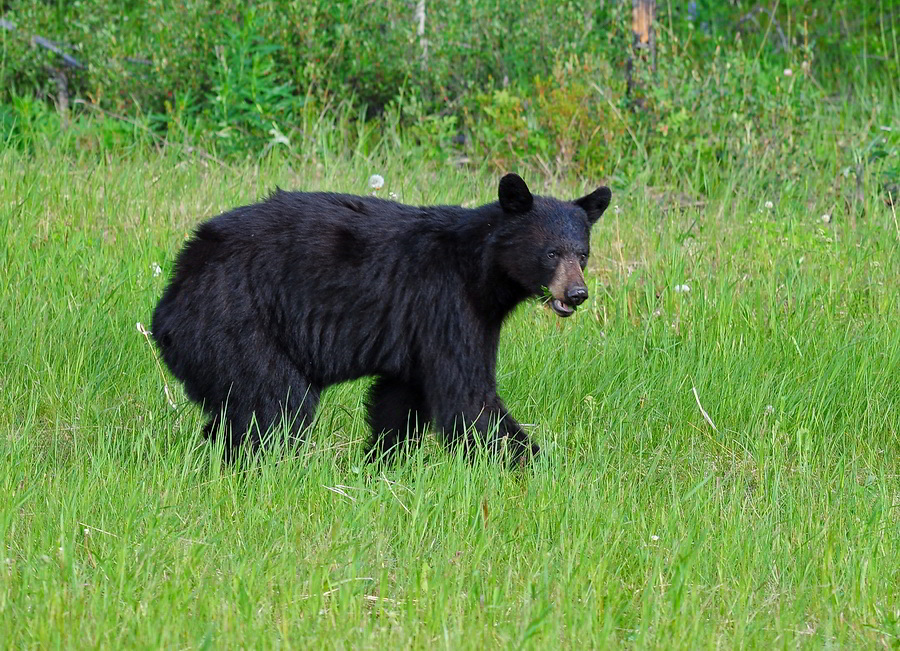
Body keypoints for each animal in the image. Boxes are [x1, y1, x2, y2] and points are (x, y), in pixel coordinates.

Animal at [151, 174, 612, 464]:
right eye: (551, 252)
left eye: (583, 253)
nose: (577, 294)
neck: (482, 268)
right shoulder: (447, 302)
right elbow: (466, 396)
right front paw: (538, 466)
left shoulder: (419, 332)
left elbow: (401, 400)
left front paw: (382, 464)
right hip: (236, 322)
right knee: (275, 405)